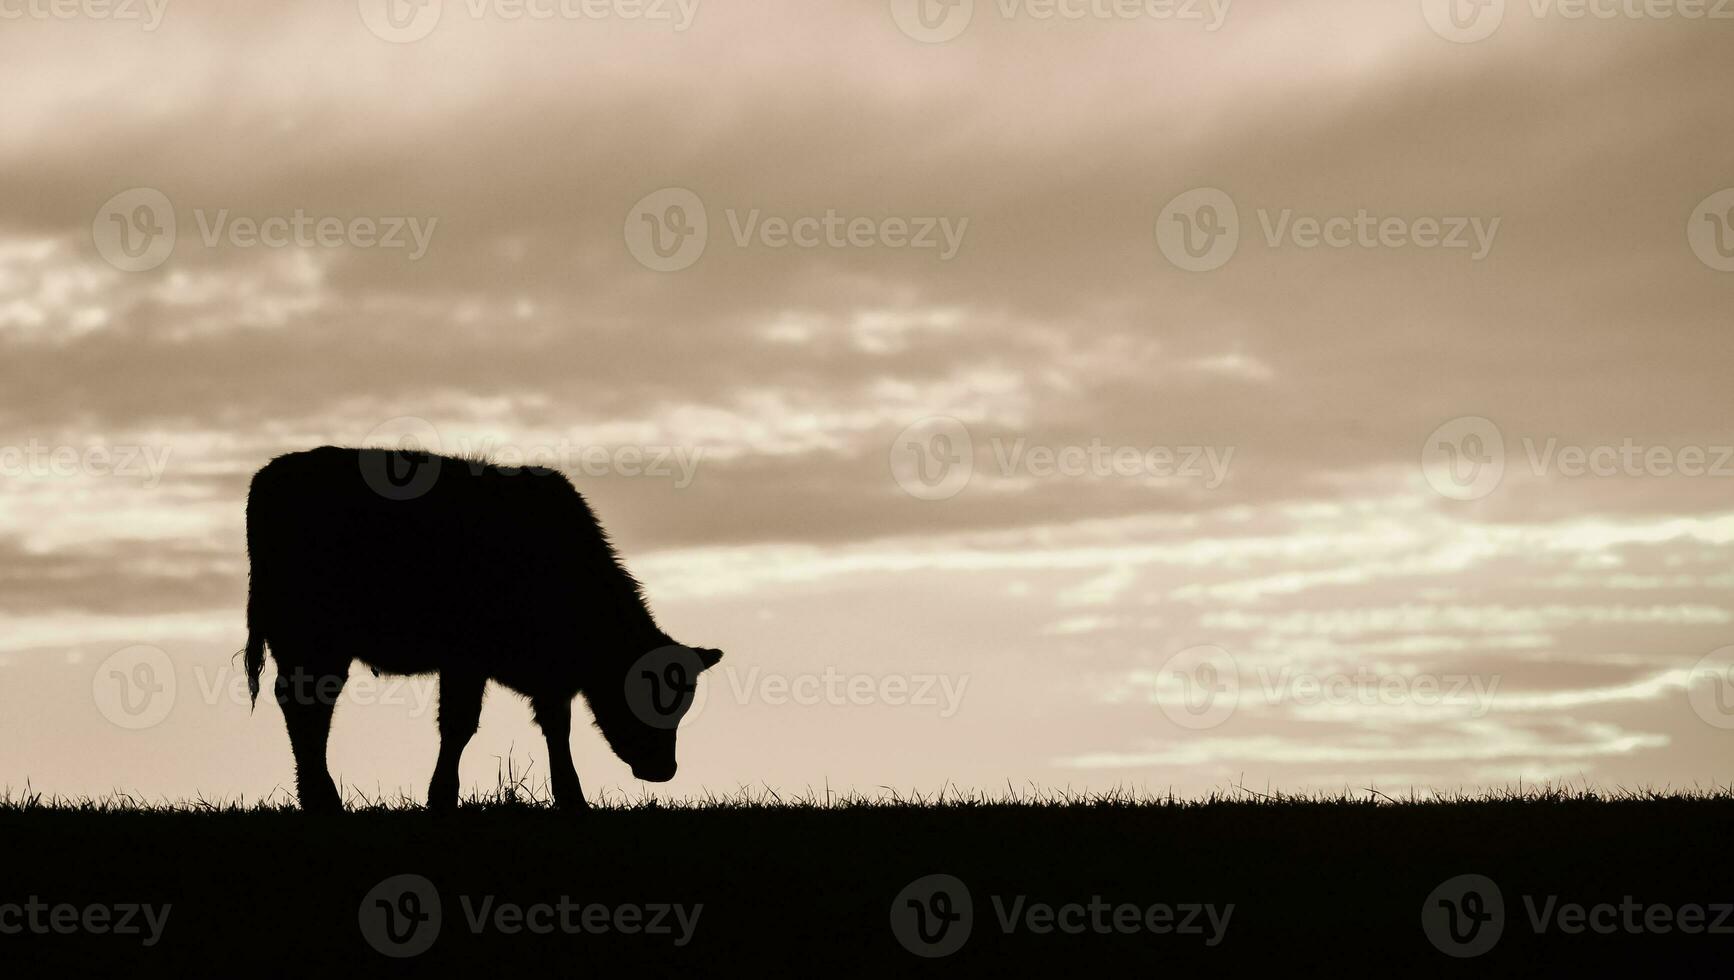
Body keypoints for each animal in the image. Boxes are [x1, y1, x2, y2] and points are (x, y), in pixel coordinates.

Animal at [242, 444, 717, 811]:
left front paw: (572, 798)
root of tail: (270, 474)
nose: (664, 770)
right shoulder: (465, 662)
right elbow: (459, 725)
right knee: (308, 706)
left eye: (682, 703)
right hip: (311, 640)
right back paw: (323, 799)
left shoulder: (549, 677)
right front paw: (441, 797)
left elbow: (555, 728)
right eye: (641, 695)